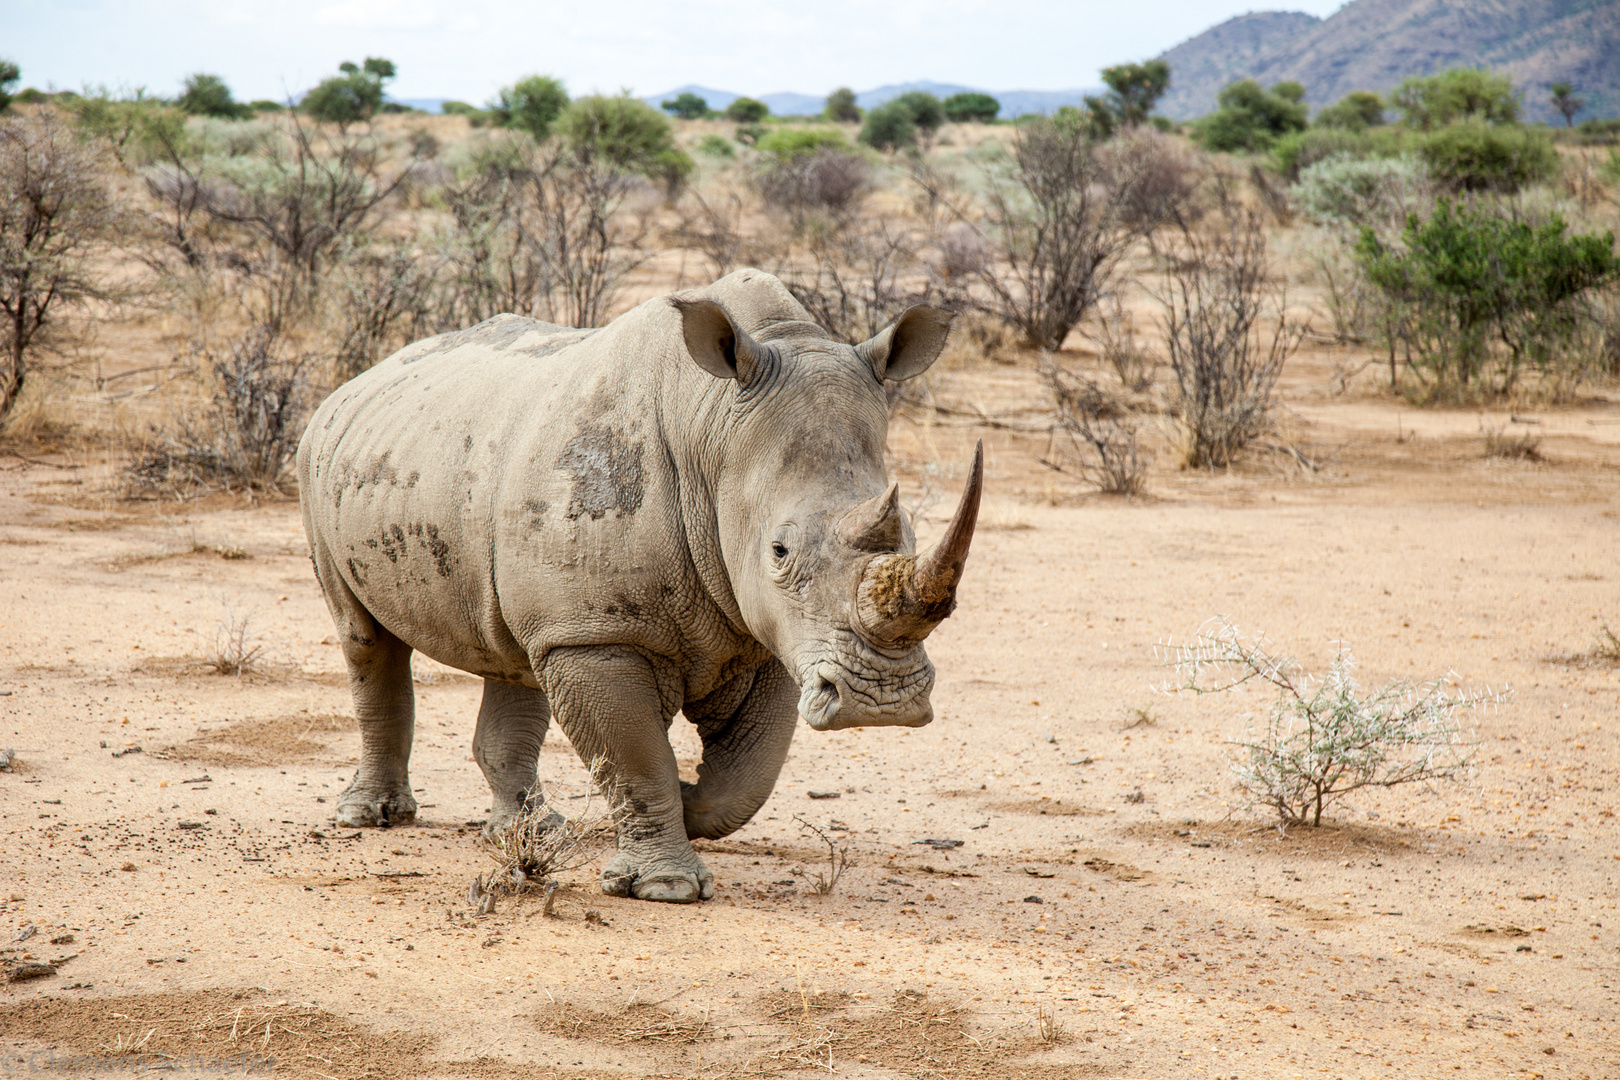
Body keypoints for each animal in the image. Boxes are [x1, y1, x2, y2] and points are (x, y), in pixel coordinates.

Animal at [296, 270, 978, 906]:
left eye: (912, 535)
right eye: (779, 552)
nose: (882, 703)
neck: (713, 431)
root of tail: (358, 381)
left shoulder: (772, 632)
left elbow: (750, 774)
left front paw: (692, 801)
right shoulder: (597, 633)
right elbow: (636, 754)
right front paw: (665, 886)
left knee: (516, 657)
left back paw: (531, 833)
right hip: (317, 458)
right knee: (365, 639)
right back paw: (373, 817)